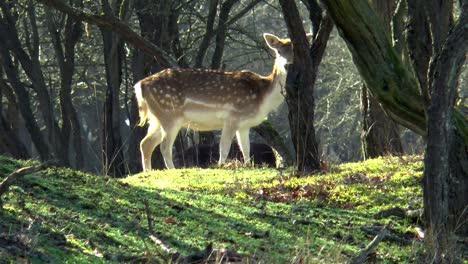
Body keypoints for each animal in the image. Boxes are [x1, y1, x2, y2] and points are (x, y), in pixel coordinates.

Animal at [135, 33, 294, 170]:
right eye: (279, 51)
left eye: (294, 51)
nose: (287, 65)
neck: (263, 97)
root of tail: (140, 85)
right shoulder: (233, 117)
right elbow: (224, 148)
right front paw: (221, 166)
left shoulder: (244, 124)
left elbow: (246, 150)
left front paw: (247, 166)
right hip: (169, 114)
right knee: (164, 146)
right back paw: (171, 170)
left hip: (157, 117)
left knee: (145, 143)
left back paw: (148, 172)